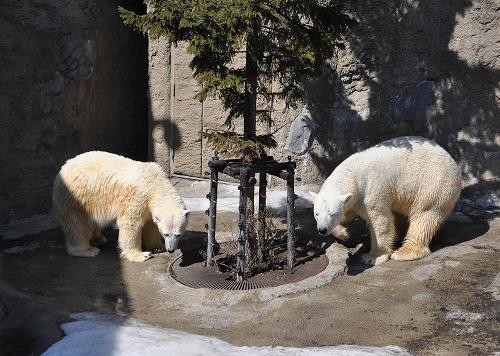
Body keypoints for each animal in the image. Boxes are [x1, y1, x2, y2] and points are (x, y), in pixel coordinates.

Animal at [52, 150, 189, 262]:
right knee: (77, 224)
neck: (155, 182)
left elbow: (151, 224)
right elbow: (131, 224)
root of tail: (62, 169)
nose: (171, 249)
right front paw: (141, 255)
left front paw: (157, 247)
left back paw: (99, 239)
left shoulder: (149, 206)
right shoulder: (137, 197)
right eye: (166, 234)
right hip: (75, 197)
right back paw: (87, 250)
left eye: (178, 234)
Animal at [310, 136, 462, 264]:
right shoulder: (354, 199)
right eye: (316, 214)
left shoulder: (370, 191)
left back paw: (404, 252)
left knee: (424, 215)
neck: (353, 173)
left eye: (332, 213)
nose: (322, 230)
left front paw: (372, 257)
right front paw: (344, 234)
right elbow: (348, 212)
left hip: (432, 184)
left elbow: (380, 221)